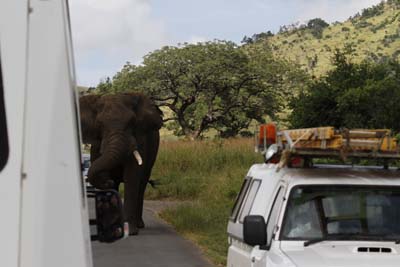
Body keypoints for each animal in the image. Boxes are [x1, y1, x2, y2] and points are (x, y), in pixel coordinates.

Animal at [79, 93, 162, 236]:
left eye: (132, 123)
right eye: (99, 124)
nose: (108, 182)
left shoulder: (140, 139)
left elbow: (132, 176)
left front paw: (131, 231)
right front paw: (112, 230)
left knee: (141, 185)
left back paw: (139, 225)